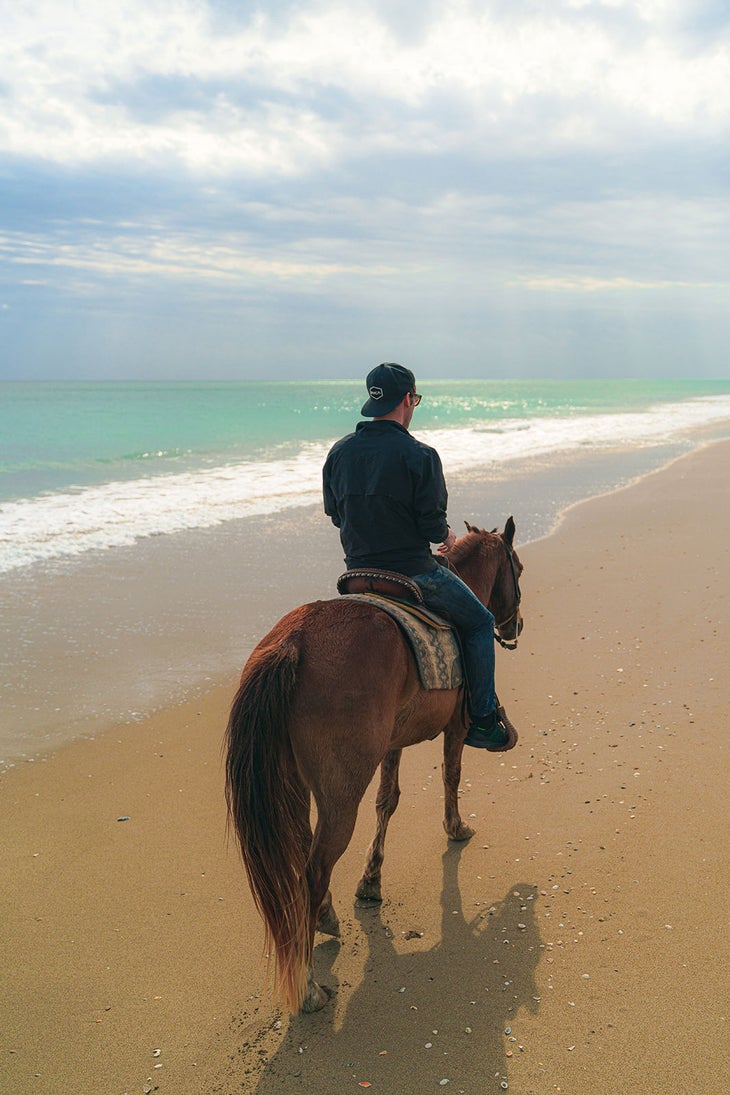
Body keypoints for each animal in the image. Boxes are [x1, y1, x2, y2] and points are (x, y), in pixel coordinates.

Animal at [225, 516, 523, 1011]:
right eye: (517, 568)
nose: (515, 625)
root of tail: (293, 642)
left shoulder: (392, 743)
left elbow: (388, 800)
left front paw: (371, 881)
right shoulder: (456, 727)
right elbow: (451, 776)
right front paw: (456, 827)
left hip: (294, 782)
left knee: (305, 850)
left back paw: (326, 918)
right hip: (341, 791)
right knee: (312, 870)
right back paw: (309, 986)